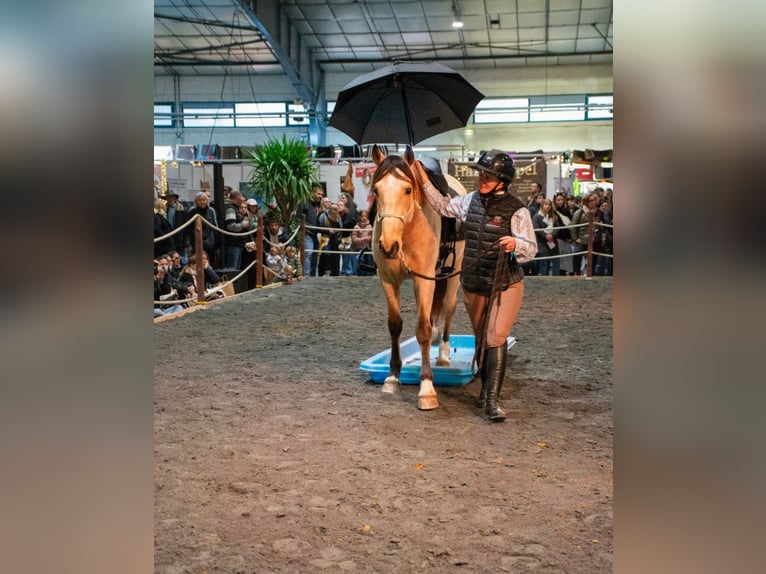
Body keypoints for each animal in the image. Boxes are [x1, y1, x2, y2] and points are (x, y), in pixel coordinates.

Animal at [370, 144, 463, 410]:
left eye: (408, 189)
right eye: (376, 190)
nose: (388, 245)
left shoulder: (425, 279)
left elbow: (422, 329)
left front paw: (427, 388)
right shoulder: (388, 280)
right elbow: (395, 325)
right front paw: (392, 377)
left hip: (452, 276)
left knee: (448, 309)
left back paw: (443, 354)